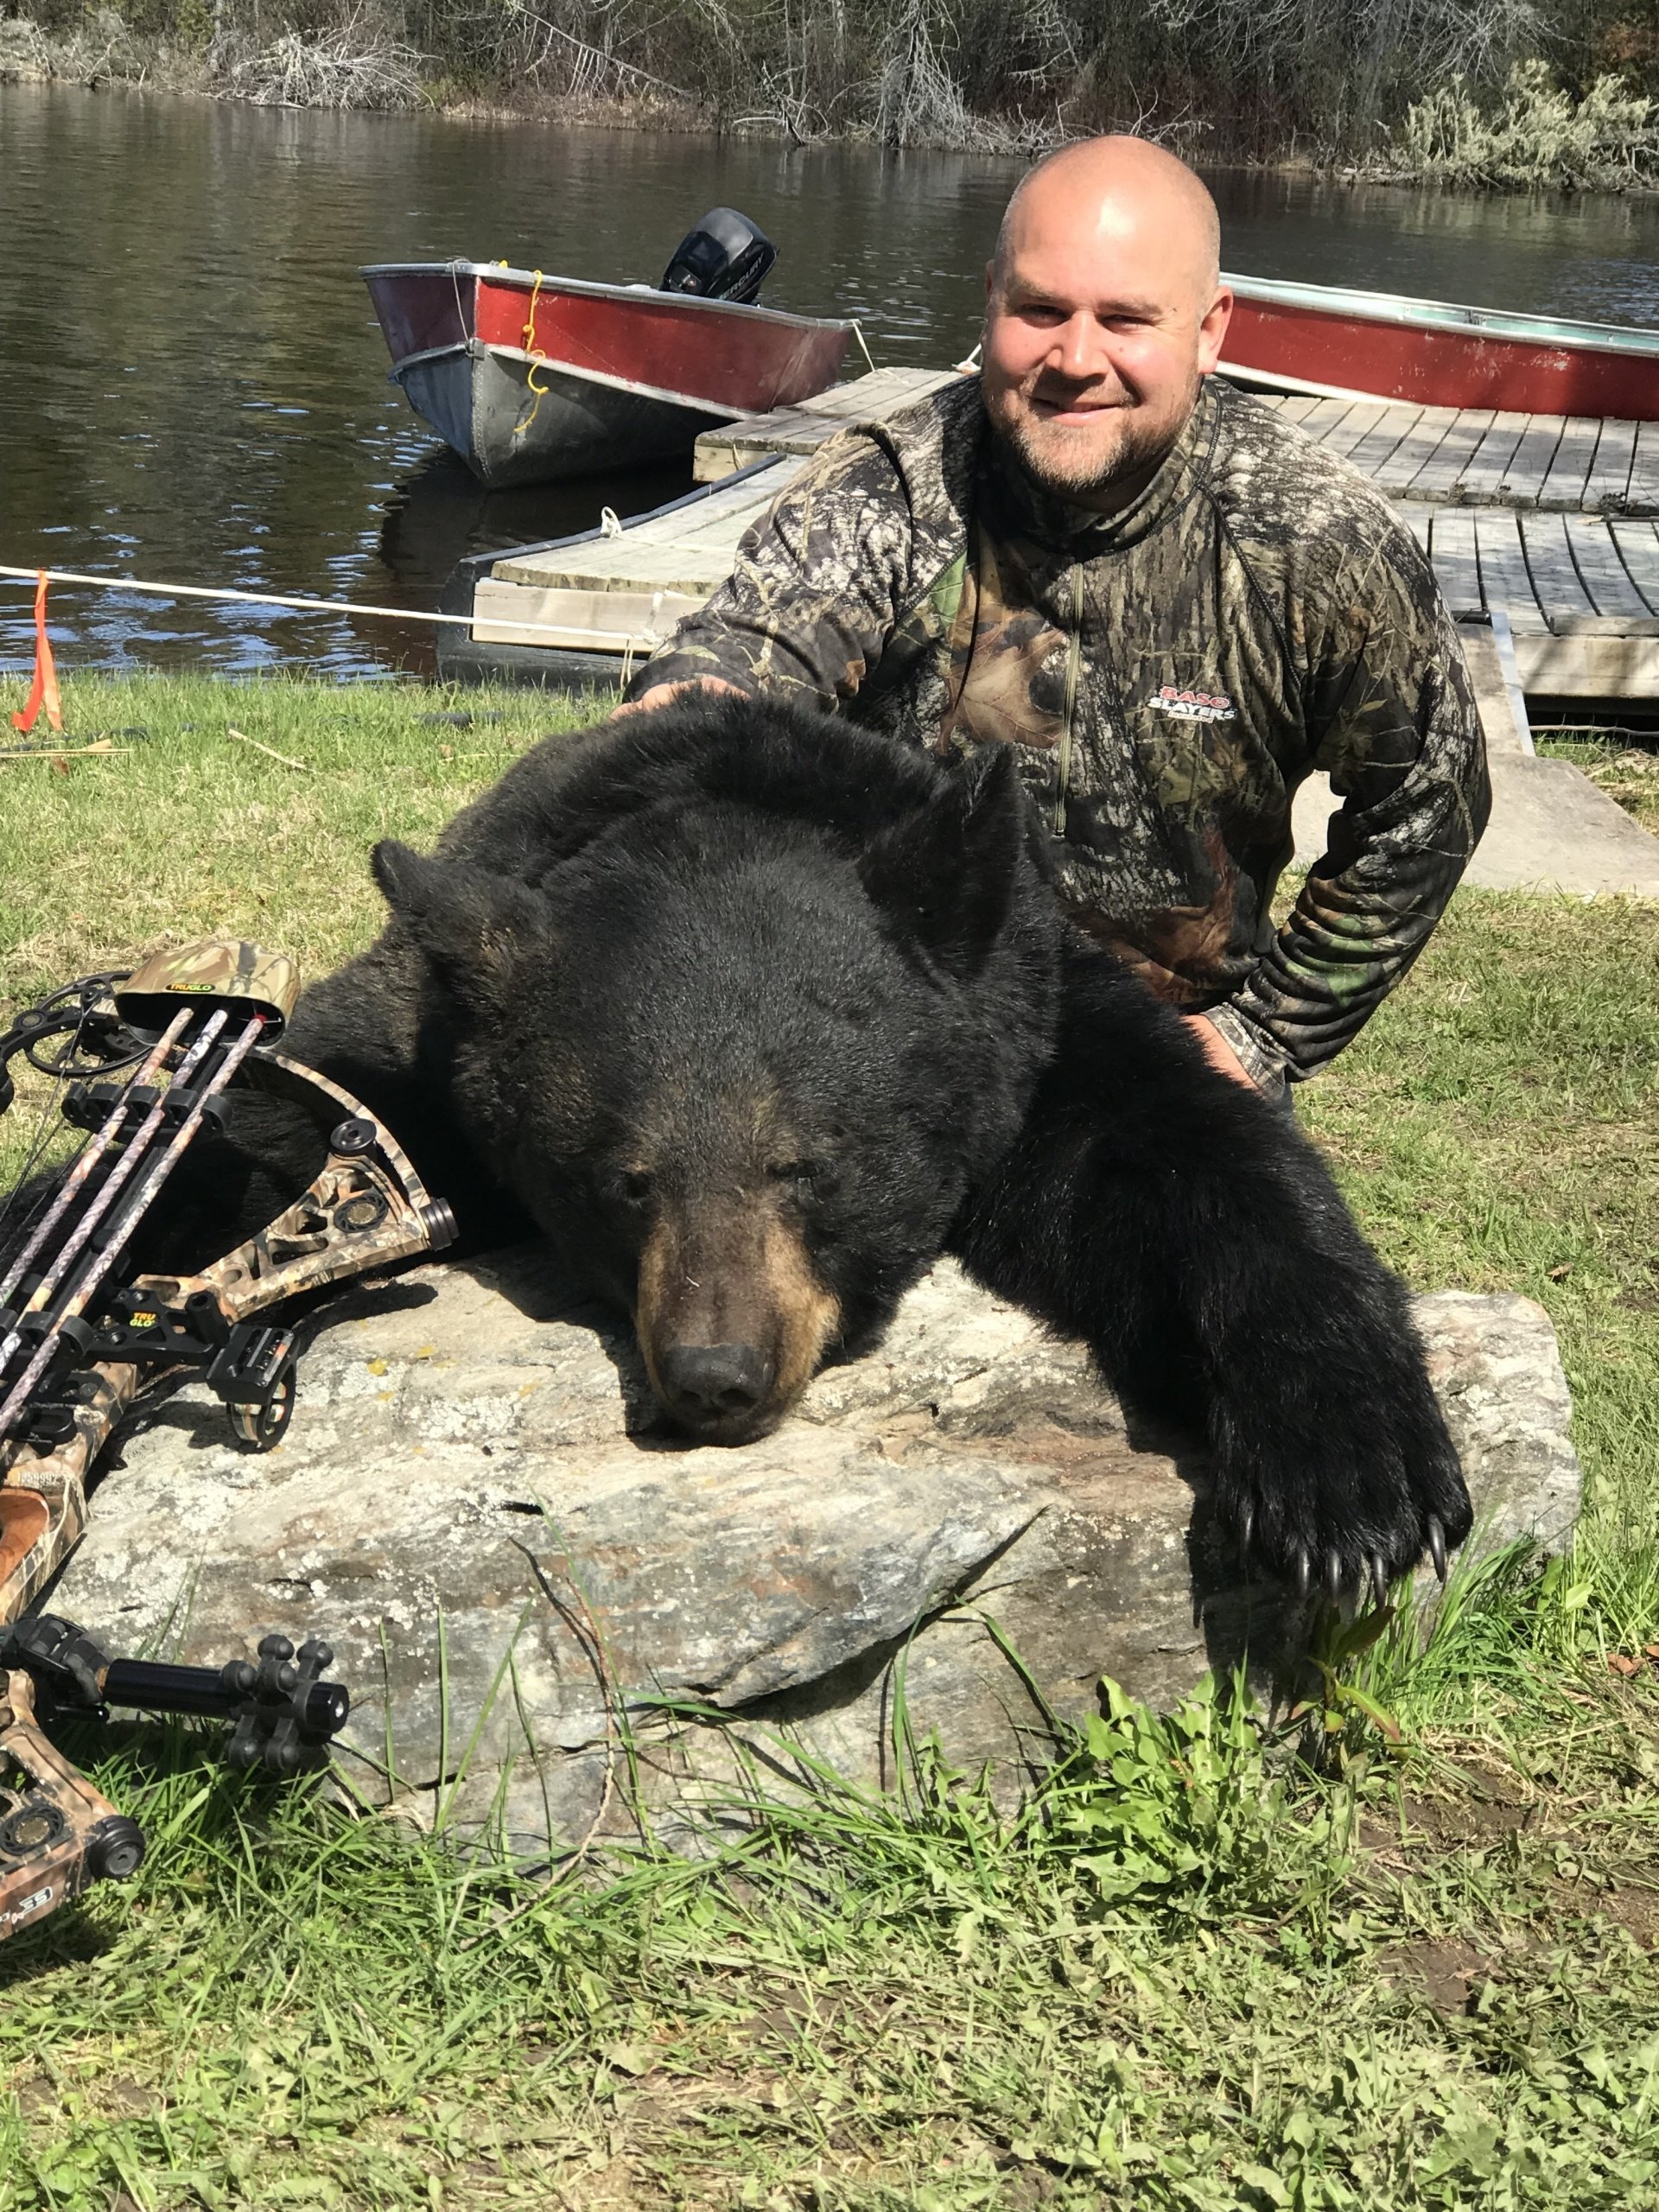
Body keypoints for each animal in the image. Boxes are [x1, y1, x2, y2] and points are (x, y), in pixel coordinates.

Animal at [149, 690, 1471, 1600]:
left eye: (808, 1164)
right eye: (622, 1184)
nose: (714, 1374)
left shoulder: (1027, 1023)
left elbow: (1185, 1151)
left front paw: (1352, 1484)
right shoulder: (422, 1040)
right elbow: (263, 1114)